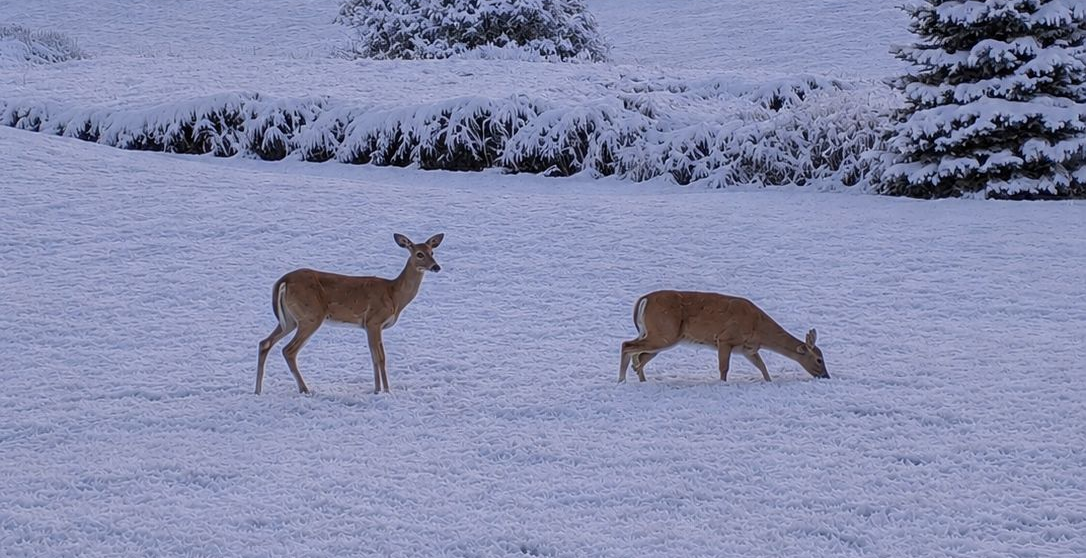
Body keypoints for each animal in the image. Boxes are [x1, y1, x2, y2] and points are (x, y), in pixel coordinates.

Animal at [255, 233, 444, 395]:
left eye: (432, 251)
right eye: (419, 254)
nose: (436, 266)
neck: (394, 294)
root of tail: (283, 281)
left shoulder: (369, 326)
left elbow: (374, 357)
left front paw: (377, 390)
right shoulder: (374, 321)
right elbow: (381, 358)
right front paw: (385, 391)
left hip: (290, 319)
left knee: (265, 343)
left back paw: (258, 390)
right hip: (311, 316)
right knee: (288, 350)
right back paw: (305, 390)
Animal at [618, 290, 829, 383]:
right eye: (819, 359)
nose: (826, 376)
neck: (758, 328)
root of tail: (643, 299)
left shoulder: (748, 349)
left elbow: (762, 366)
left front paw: (769, 381)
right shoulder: (725, 339)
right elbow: (724, 368)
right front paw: (722, 384)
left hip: (658, 336)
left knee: (638, 355)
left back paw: (640, 380)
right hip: (664, 333)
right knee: (627, 345)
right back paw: (622, 381)